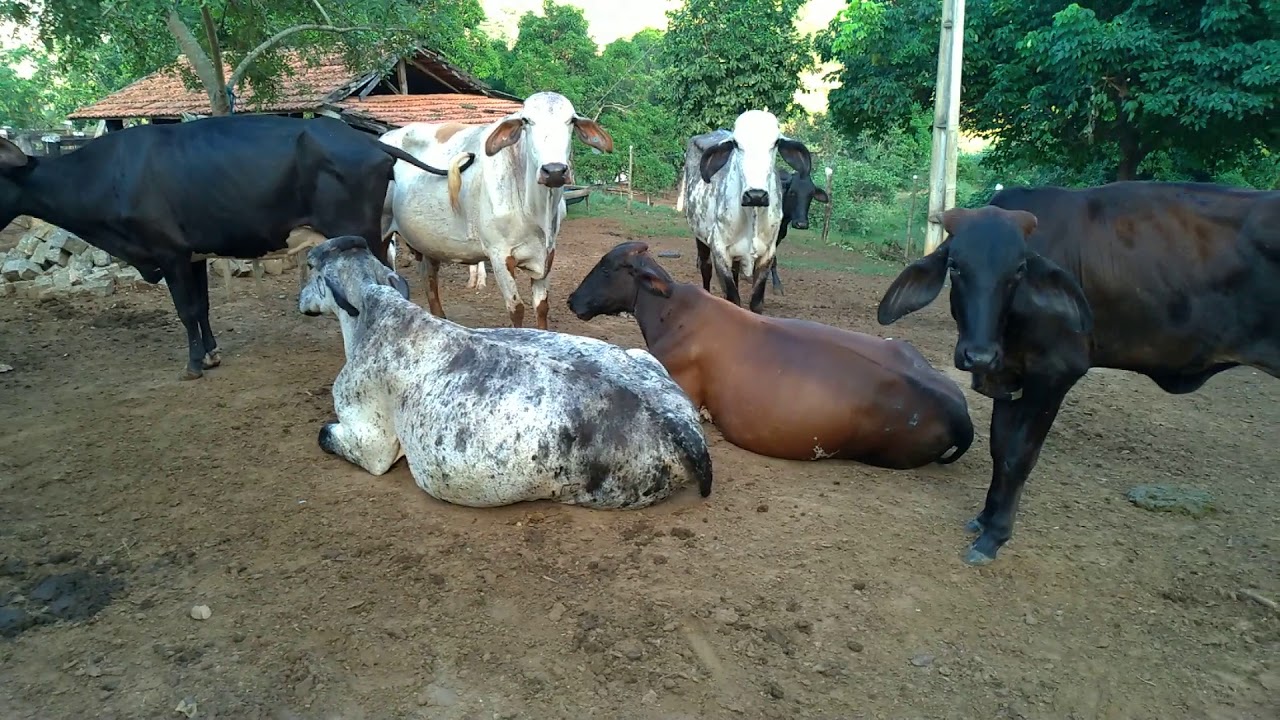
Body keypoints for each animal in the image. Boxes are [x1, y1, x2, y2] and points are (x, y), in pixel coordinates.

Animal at [0, 113, 471, 380]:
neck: (110, 174)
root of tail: (369, 140)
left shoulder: (169, 254)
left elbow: (185, 309)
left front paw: (193, 365)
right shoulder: (192, 255)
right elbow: (202, 308)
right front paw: (210, 353)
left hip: (360, 232)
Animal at [297, 234, 713, 509]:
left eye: (310, 267)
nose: (300, 301)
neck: (375, 312)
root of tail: (685, 428)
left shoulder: (371, 445)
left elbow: (326, 435)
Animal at [383, 91, 613, 330]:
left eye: (571, 121)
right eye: (526, 121)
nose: (554, 171)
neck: (536, 211)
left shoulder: (547, 253)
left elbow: (542, 307)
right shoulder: (499, 254)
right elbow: (516, 308)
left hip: (429, 244)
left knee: (429, 281)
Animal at [677, 111, 815, 314]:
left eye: (775, 143)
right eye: (736, 144)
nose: (755, 195)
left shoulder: (767, 254)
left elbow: (756, 301)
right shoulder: (719, 251)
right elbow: (733, 299)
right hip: (700, 237)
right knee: (705, 268)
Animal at [876, 181, 1280, 566]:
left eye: (1018, 270)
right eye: (956, 266)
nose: (979, 355)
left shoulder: (1054, 374)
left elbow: (1018, 456)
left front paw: (994, 536)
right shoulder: (1009, 374)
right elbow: (999, 448)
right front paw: (985, 518)